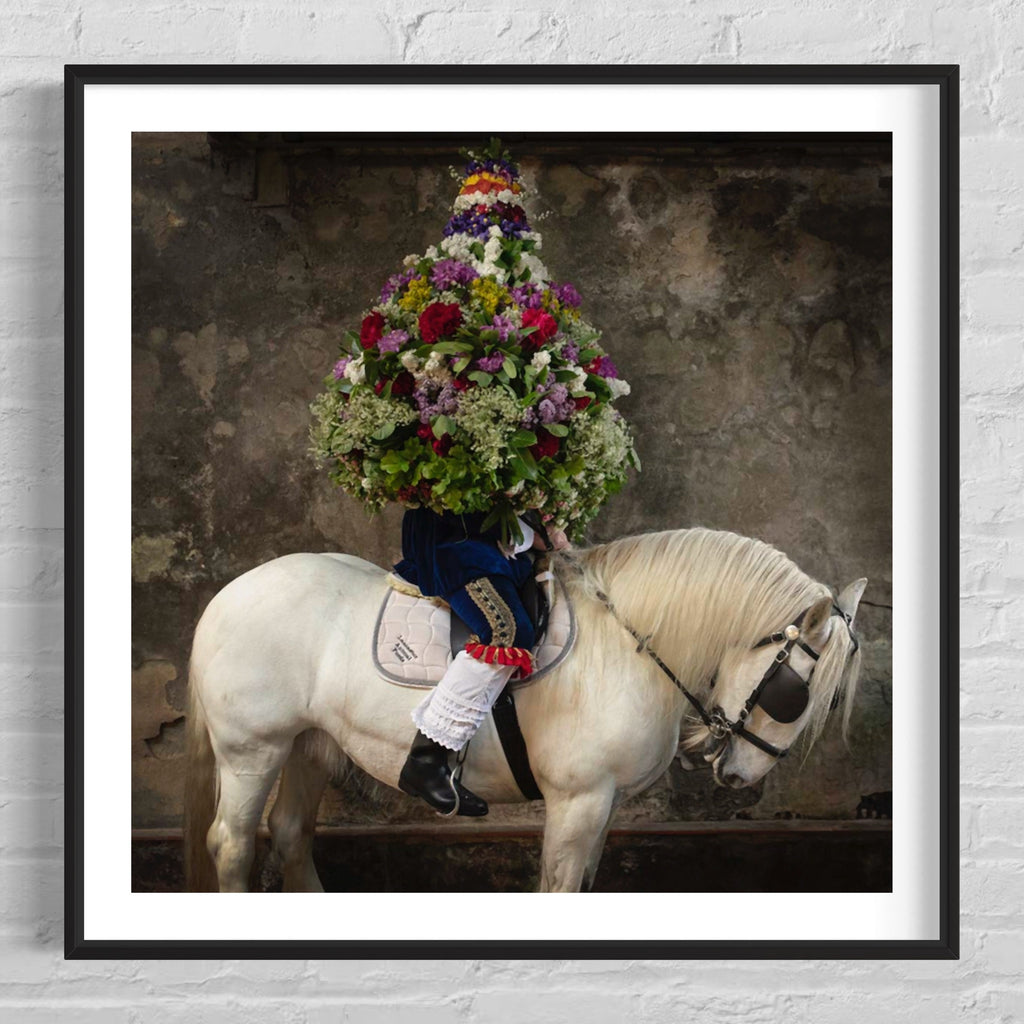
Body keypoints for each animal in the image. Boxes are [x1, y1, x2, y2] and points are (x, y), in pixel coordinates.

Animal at [184, 532, 864, 892]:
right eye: (797, 694)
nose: (742, 775)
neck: (624, 645)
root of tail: (229, 594)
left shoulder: (605, 803)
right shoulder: (578, 800)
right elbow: (559, 887)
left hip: (309, 745)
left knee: (291, 833)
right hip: (254, 750)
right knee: (233, 844)